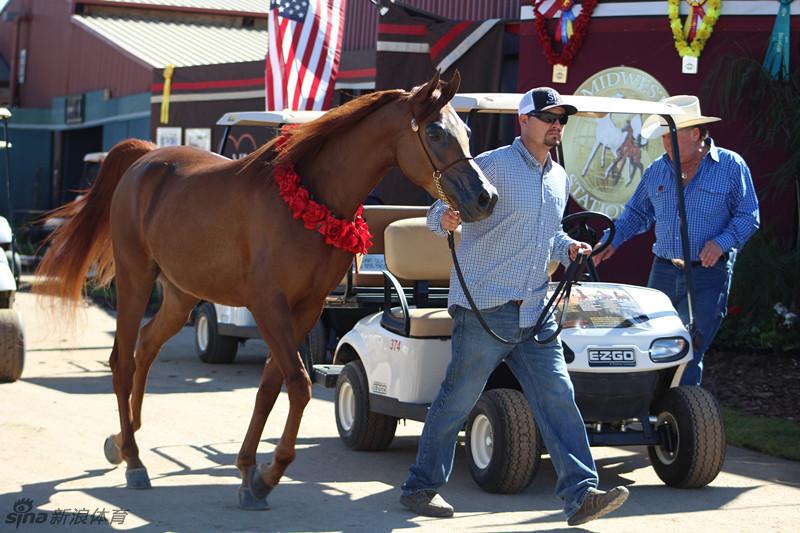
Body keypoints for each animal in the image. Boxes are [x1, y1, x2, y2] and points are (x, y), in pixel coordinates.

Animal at [34, 70, 496, 508]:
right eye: (434, 132)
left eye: (467, 131)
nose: (485, 197)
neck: (312, 198)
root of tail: (147, 157)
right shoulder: (268, 304)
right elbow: (299, 385)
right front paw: (268, 475)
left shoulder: (305, 309)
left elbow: (271, 387)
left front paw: (249, 472)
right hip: (136, 278)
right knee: (122, 361)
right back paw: (132, 458)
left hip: (181, 293)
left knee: (146, 347)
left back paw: (123, 437)